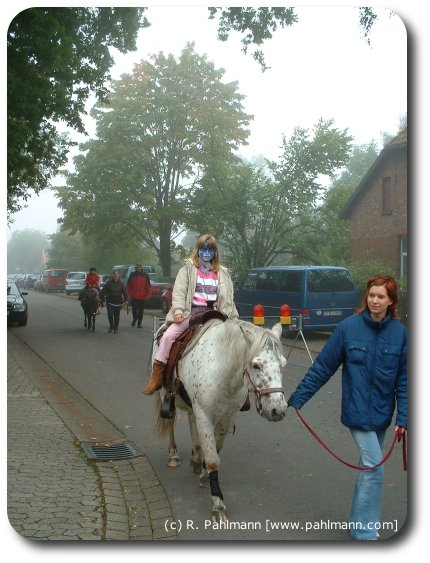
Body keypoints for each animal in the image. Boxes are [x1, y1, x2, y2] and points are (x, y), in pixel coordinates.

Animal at [153, 318, 288, 524]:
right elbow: (213, 461)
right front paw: (218, 504)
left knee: (192, 423)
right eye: (256, 366)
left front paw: (203, 474)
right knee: (171, 424)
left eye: (283, 365)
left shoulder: (227, 419)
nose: (277, 410)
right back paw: (174, 455)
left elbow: (215, 451)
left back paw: (195, 458)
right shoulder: (205, 416)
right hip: (165, 395)